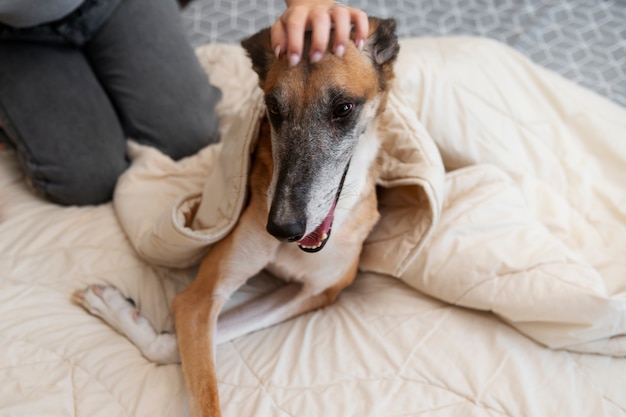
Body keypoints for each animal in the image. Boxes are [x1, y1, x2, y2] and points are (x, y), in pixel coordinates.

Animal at [73, 17, 394, 416]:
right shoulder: (199, 299)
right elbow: (189, 361)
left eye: (344, 108)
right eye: (273, 108)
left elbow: (173, 345)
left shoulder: (321, 292)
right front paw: (116, 308)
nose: (281, 228)